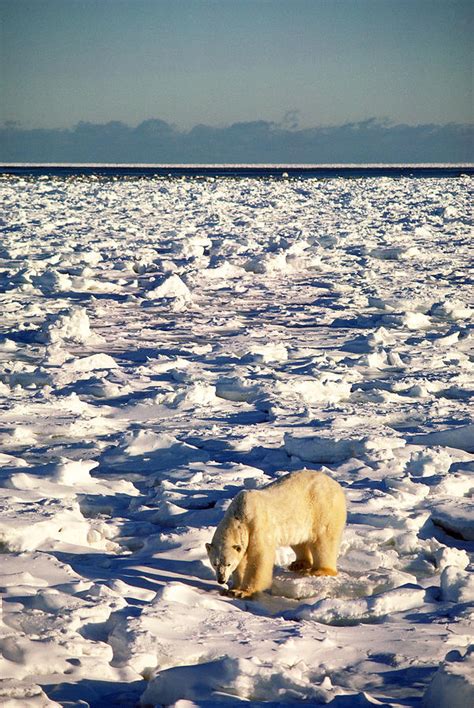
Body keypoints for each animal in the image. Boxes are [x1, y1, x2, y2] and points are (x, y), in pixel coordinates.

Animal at [206, 470, 346, 596]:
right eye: (215, 563)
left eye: (228, 563)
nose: (221, 580)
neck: (240, 514)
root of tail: (336, 484)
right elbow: (242, 560)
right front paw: (231, 588)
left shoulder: (257, 524)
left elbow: (259, 557)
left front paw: (242, 592)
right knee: (299, 540)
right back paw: (299, 564)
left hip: (322, 508)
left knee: (324, 539)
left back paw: (320, 570)